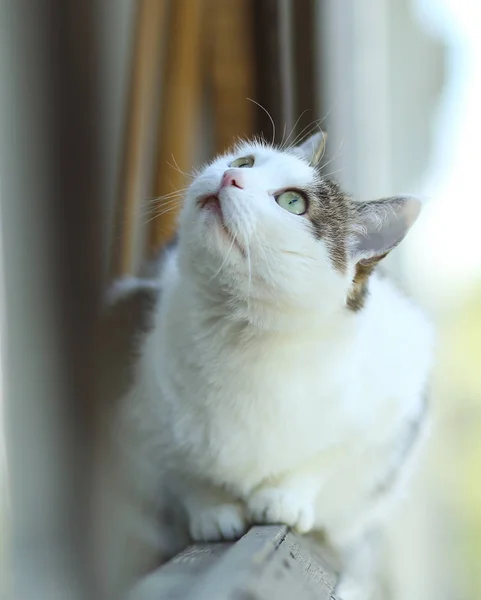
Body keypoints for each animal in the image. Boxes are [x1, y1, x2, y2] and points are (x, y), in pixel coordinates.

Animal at [106, 132, 436, 600]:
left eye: (293, 203)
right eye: (245, 161)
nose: (230, 176)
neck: (240, 337)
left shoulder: (394, 405)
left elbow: (325, 458)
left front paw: (284, 498)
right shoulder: (137, 412)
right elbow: (181, 469)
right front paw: (213, 509)